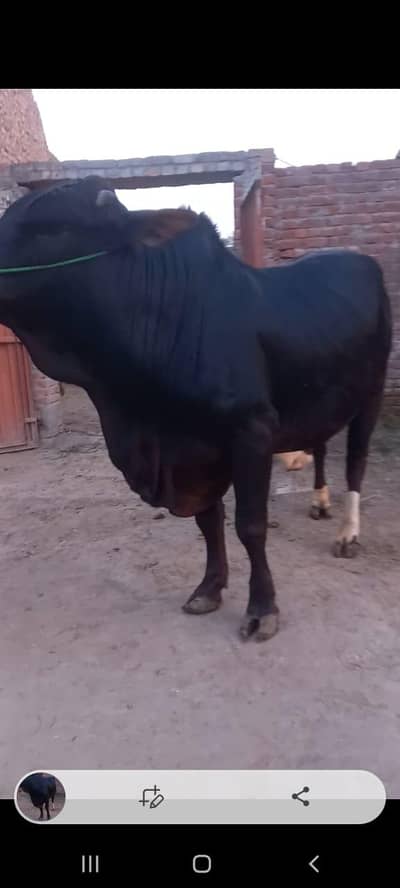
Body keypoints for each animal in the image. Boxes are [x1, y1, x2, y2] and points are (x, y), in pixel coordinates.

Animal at [0, 177, 392, 641]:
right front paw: (209, 588)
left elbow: (250, 524)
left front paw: (262, 608)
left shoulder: (251, 431)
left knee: (356, 462)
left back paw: (348, 533)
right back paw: (320, 501)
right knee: (320, 444)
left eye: (51, 228)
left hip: (372, 393)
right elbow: (209, 520)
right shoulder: (193, 447)